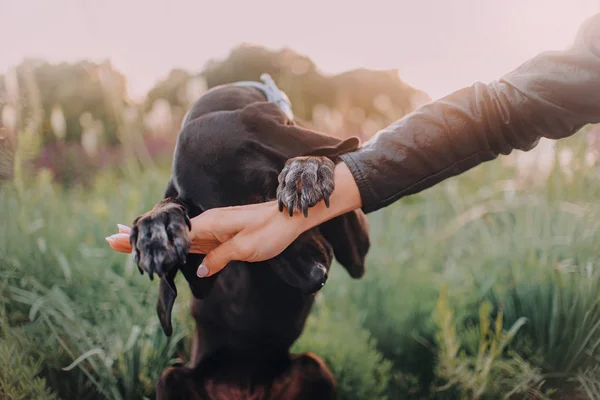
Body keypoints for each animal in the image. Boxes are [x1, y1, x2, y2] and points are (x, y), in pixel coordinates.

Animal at [129, 75, 368, 400]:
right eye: (230, 230)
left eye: (271, 189)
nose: (315, 279)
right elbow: (170, 204)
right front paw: (158, 226)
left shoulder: (358, 257)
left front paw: (309, 166)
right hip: (171, 378)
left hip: (314, 367)